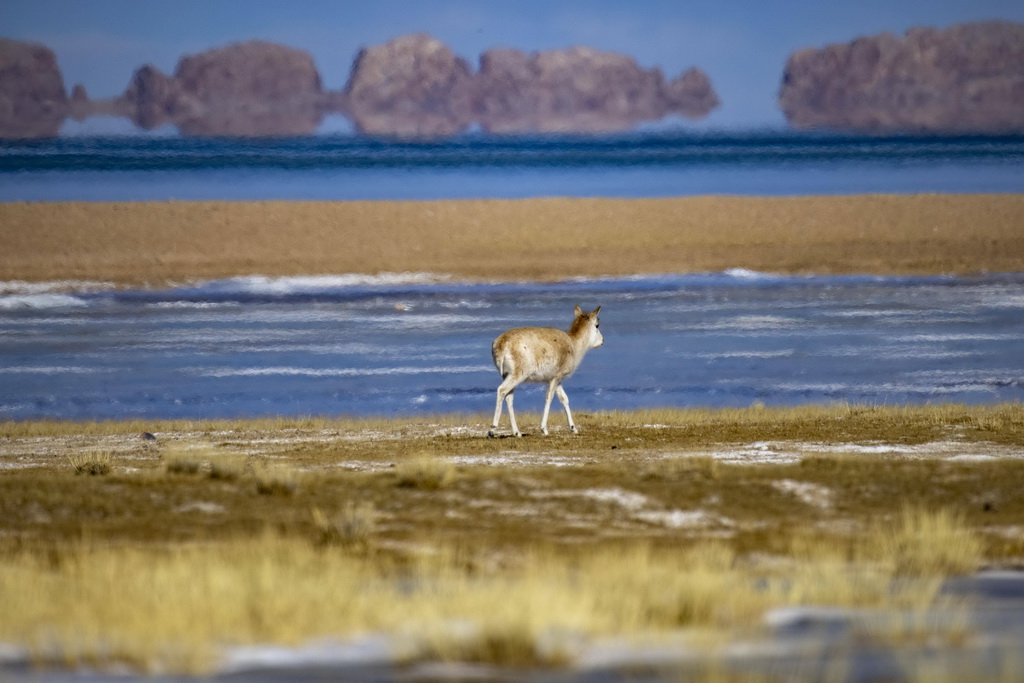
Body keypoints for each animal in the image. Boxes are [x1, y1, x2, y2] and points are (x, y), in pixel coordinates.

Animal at [487, 305, 598, 438]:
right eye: (597, 325)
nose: (602, 341)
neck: (573, 344)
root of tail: (501, 344)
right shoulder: (556, 377)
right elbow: (549, 398)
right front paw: (544, 429)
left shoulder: (555, 379)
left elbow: (564, 399)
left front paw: (573, 428)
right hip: (517, 375)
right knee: (501, 390)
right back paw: (492, 430)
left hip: (507, 376)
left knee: (509, 397)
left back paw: (517, 432)